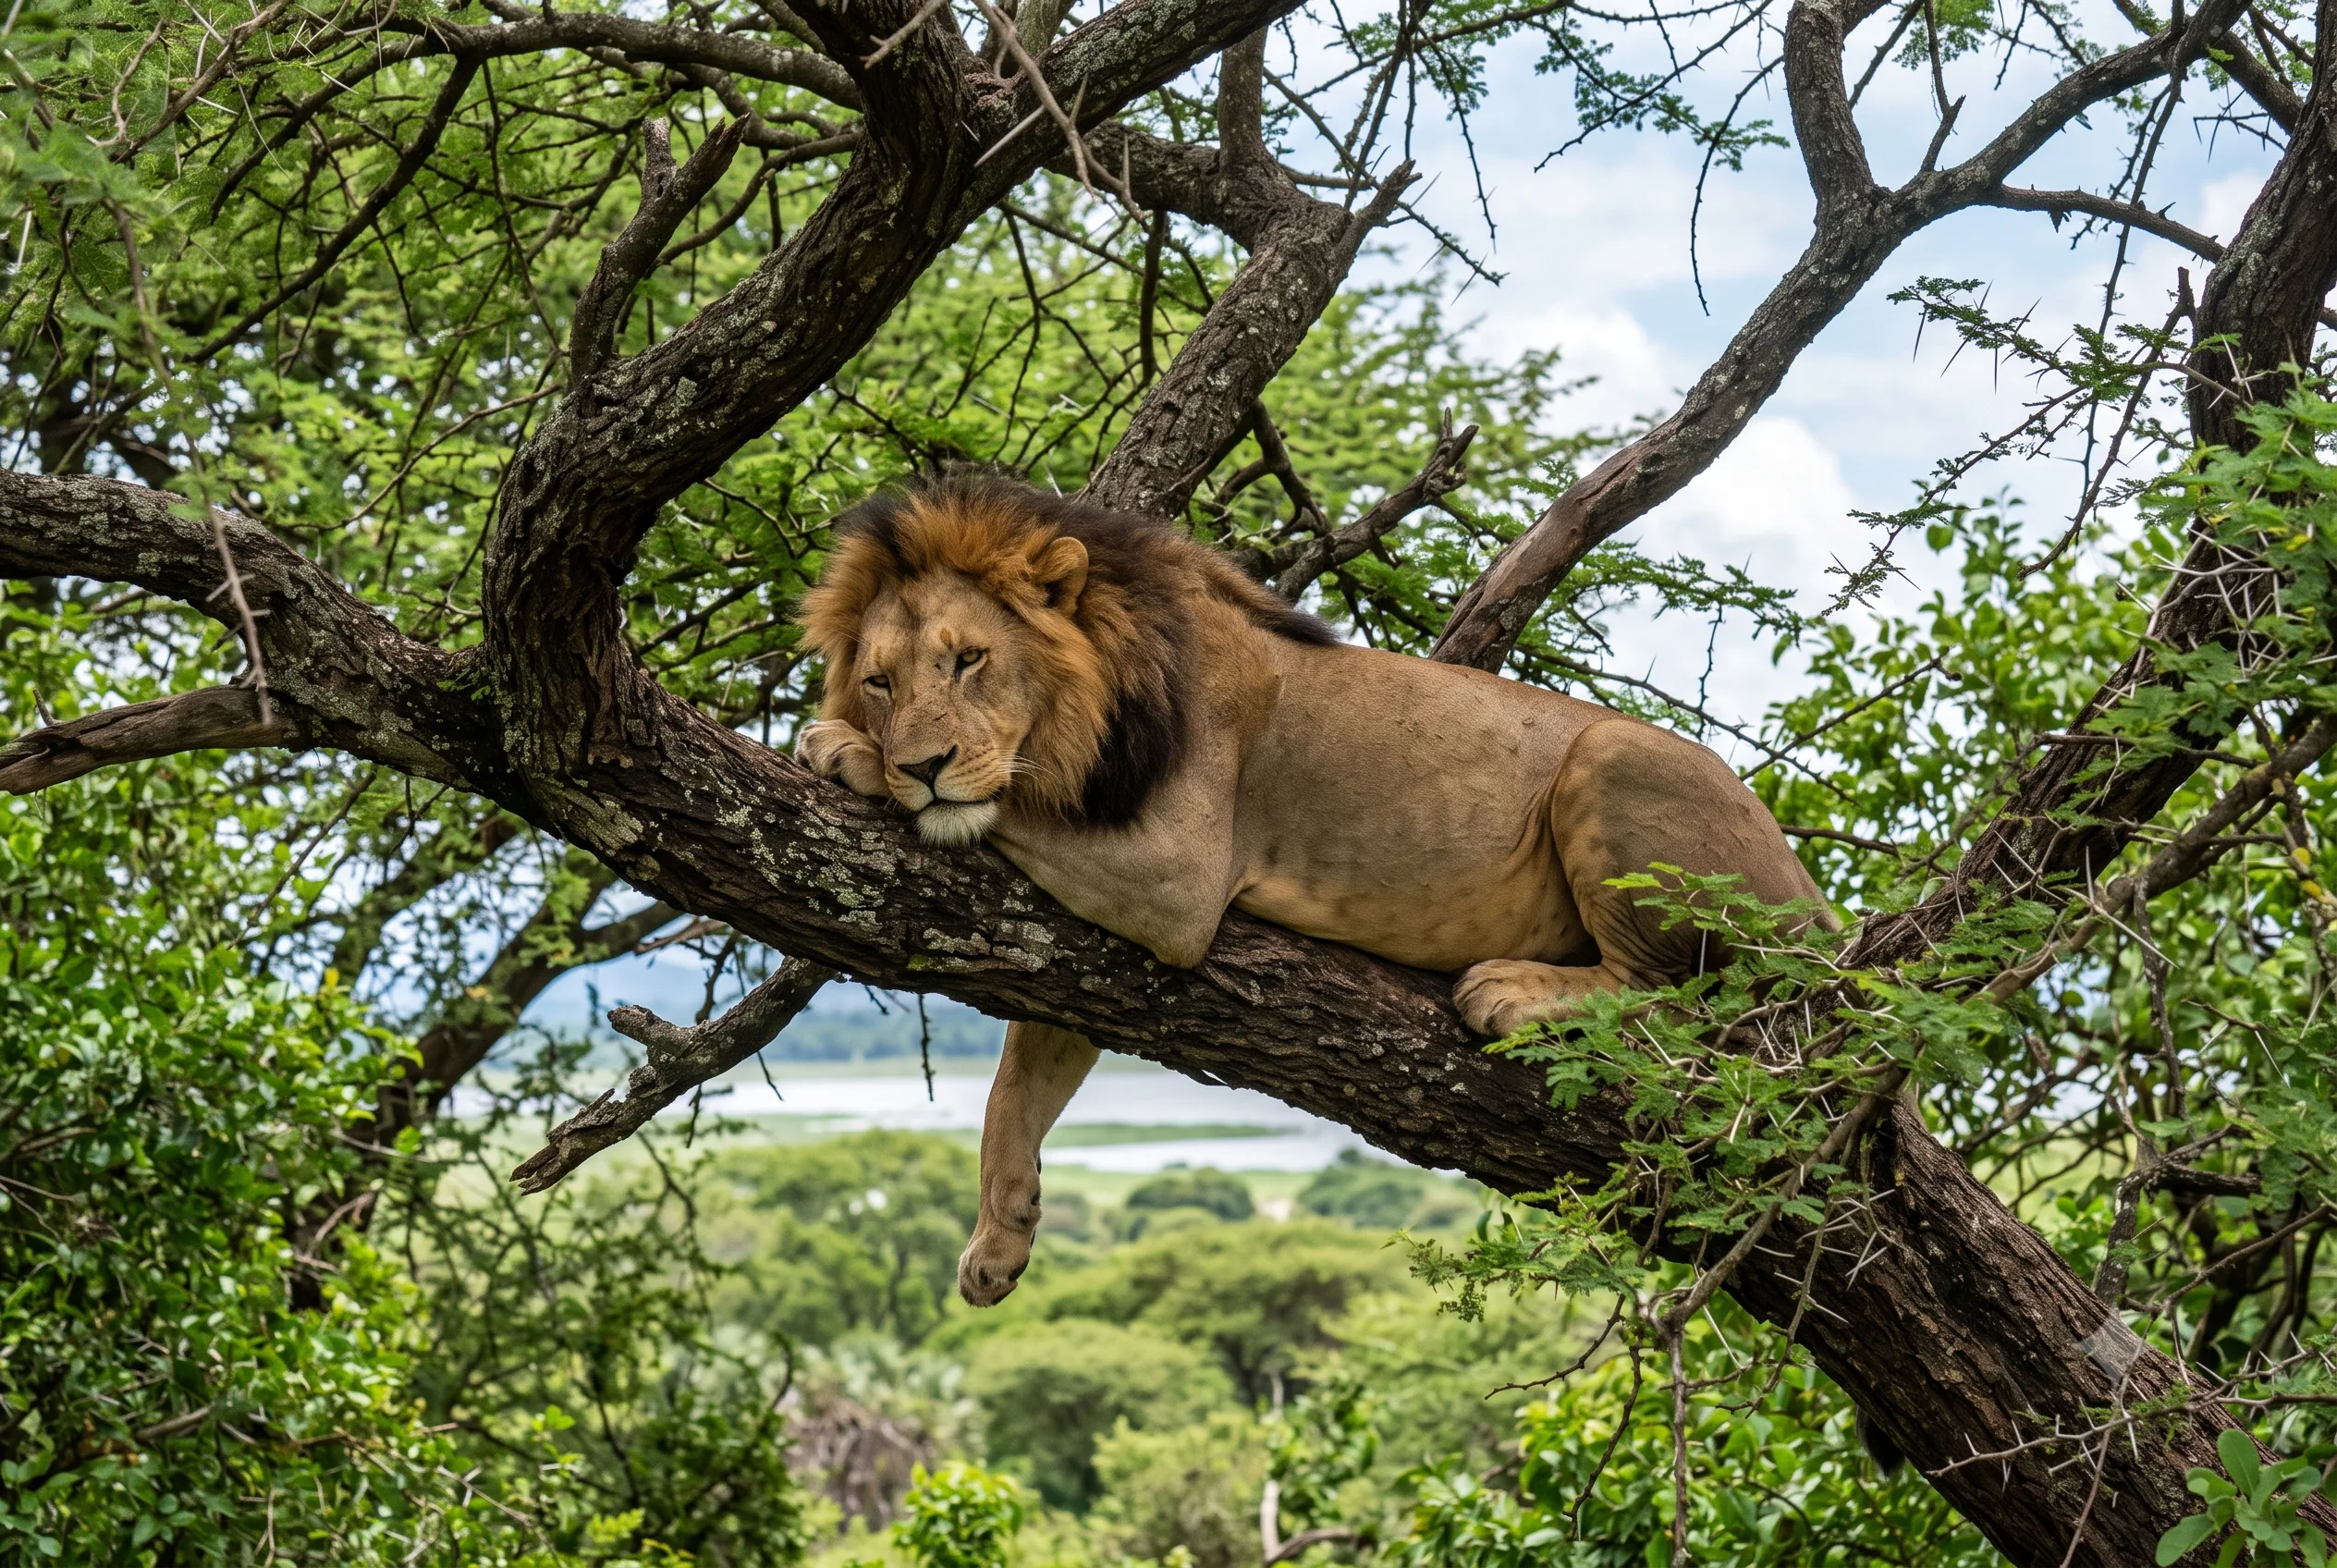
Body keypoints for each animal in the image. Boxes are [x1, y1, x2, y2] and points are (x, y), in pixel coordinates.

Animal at [796, 476, 1829, 1306]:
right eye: (880, 681)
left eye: (968, 659)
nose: (921, 765)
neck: (1083, 715)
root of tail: (1814, 897)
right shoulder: (1077, 954)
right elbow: (1017, 1084)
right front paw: (996, 1243)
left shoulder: (1176, 873)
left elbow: (1001, 807)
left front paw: (841, 750)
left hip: (1614, 754)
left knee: (1686, 994)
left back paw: (1511, 992)